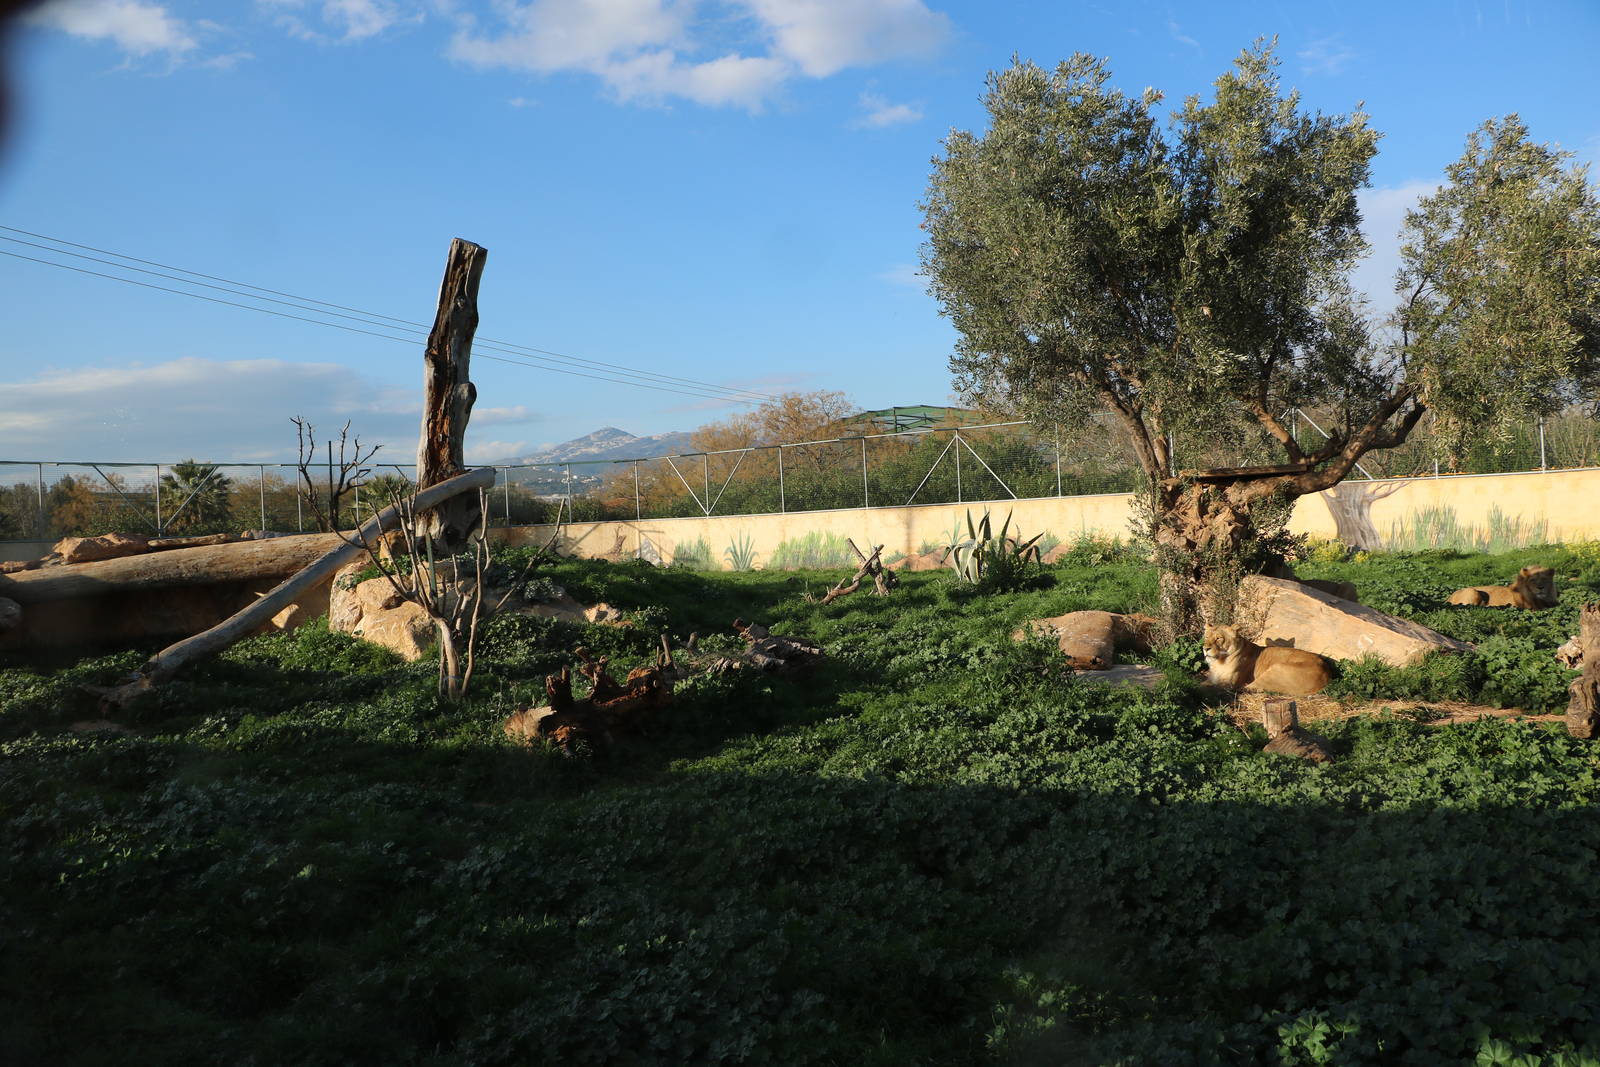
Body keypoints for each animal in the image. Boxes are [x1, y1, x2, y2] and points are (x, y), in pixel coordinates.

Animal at [1202, 623, 1333, 696]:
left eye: (1219, 638)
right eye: (1206, 637)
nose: (1205, 648)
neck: (1219, 662)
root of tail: (1327, 674)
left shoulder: (1228, 684)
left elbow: (1208, 687)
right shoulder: (1211, 679)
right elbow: (1203, 683)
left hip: (1276, 669)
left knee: (1245, 689)